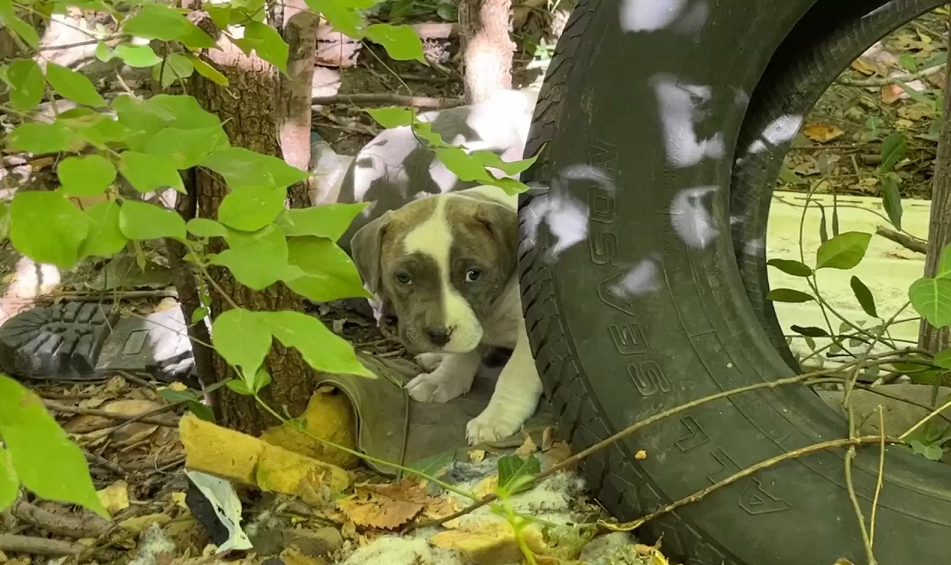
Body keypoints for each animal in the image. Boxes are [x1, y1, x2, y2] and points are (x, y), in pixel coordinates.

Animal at [350, 185, 544, 446]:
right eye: (404, 278)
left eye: (473, 274)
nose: (438, 335)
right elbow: (459, 356)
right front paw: (441, 380)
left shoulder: (531, 330)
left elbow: (515, 372)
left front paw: (495, 417)